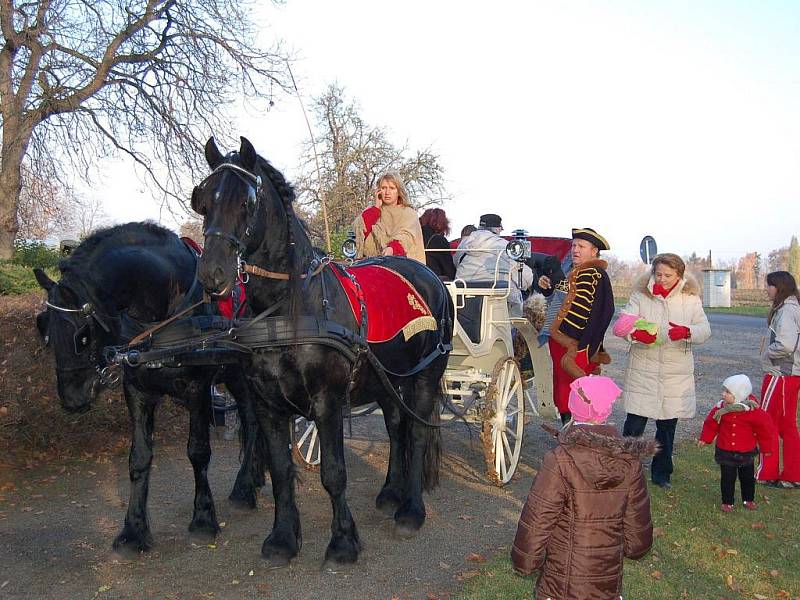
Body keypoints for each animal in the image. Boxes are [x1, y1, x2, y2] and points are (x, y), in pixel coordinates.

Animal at [35, 224, 268, 552]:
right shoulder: (137, 392)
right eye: (44, 328)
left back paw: (245, 488)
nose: (72, 399)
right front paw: (134, 529)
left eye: (81, 336)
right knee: (251, 421)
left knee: (252, 420)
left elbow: (198, 452)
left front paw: (203, 518)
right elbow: (139, 458)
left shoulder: (197, 389)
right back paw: (254, 478)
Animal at [187, 137, 450, 568]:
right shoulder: (267, 403)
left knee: (416, 432)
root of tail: (431, 278)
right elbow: (280, 470)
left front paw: (342, 541)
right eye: (204, 200)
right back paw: (390, 492)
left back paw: (410, 510)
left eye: (246, 202)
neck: (287, 306)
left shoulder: (328, 402)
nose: (212, 274)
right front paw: (282, 537)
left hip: (424, 377)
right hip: (387, 381)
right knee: (396, 427)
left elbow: (334, 472)